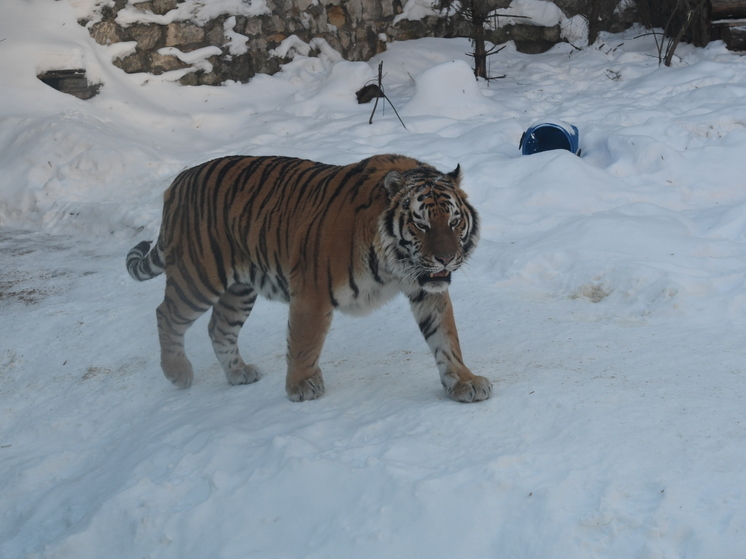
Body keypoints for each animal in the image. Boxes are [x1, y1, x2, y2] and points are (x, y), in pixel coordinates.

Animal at [125, 154, 492, 402]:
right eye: (421, 224)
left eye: (454, 222)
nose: (446, 258)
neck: (395, 264)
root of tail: (178, 182)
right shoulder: (312, 291)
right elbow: (305, 341)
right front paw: (301, 386)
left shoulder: (427, 289)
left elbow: (446, 338)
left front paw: (464, 380)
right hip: (199, 276)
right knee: (166, 314)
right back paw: (178, 372)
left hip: (239, 289)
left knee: (219, 327)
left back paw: (238, 372)